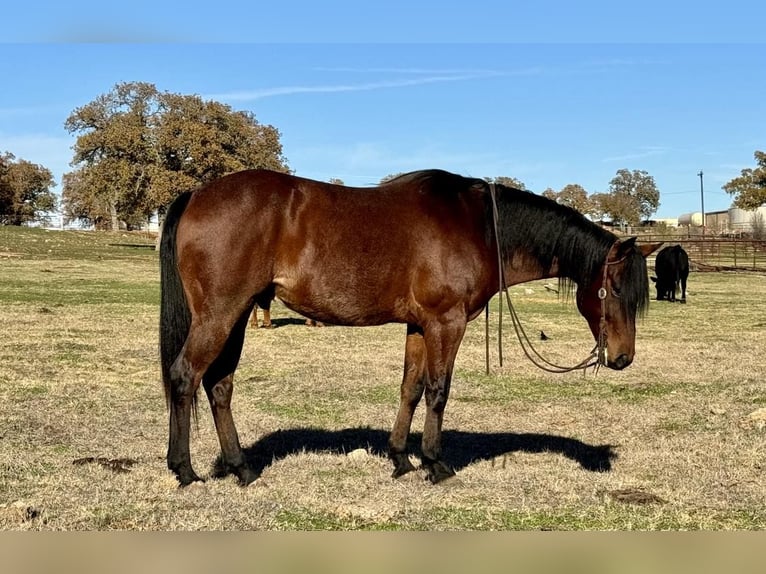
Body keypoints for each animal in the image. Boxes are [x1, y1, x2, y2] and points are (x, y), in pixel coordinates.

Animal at [160, 169, 660, 488]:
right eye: (615, 288)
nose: (623, 357)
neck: (479, 226)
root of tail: (197, 195)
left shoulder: (419, 327)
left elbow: (411, 388)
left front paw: (401, 457)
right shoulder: (446, 322)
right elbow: (438, 390)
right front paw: (435, 463)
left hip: (237, 314)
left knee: (219, 385)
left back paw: (241, 467)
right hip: (221, 314)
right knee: (186, 376)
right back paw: (184, 470)